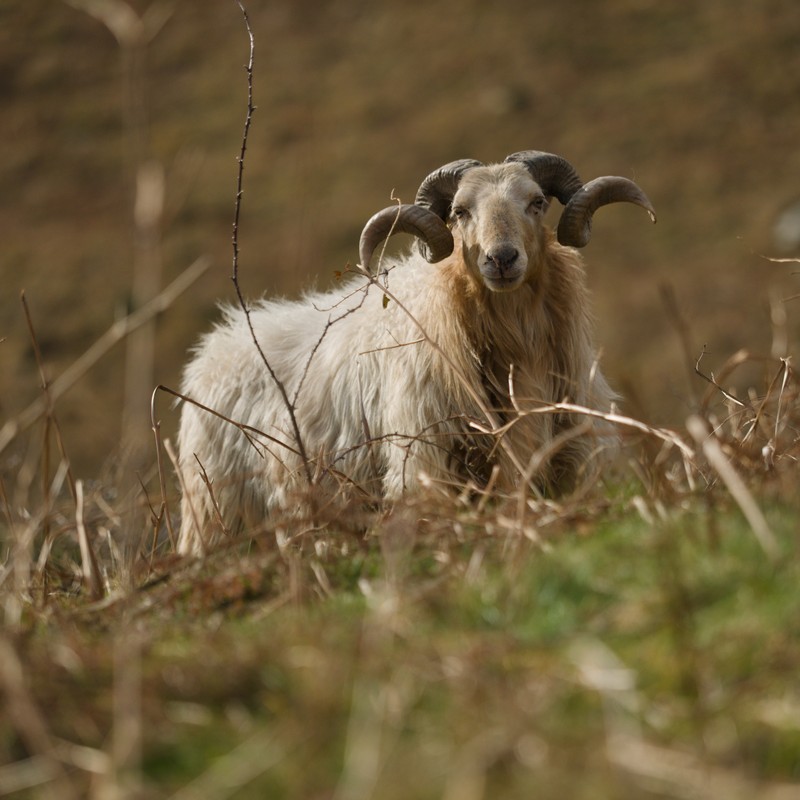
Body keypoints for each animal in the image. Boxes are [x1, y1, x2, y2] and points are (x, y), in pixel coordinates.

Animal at [176, 150, 655, 554]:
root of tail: (211, 350)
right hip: (215, 512)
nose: (501, 259)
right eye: (460, 212)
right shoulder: (426, 465)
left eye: (537, 202)